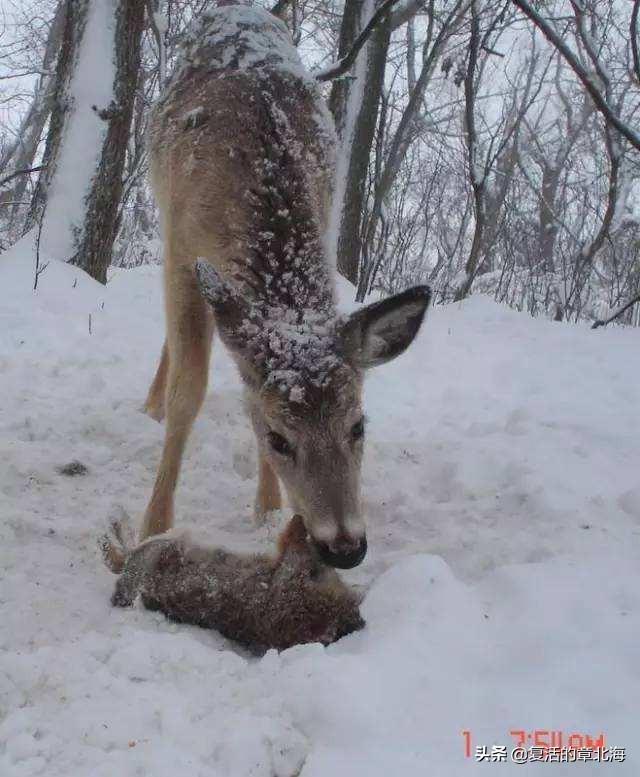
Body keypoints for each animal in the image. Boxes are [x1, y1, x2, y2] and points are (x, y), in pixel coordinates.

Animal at [140, 3, 430, 568]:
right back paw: (151, 407)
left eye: (358, 426)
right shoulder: (184, 251)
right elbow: (191, 391)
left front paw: (269, 512)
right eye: (279, 439)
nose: (345, 547)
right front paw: (153, 528)